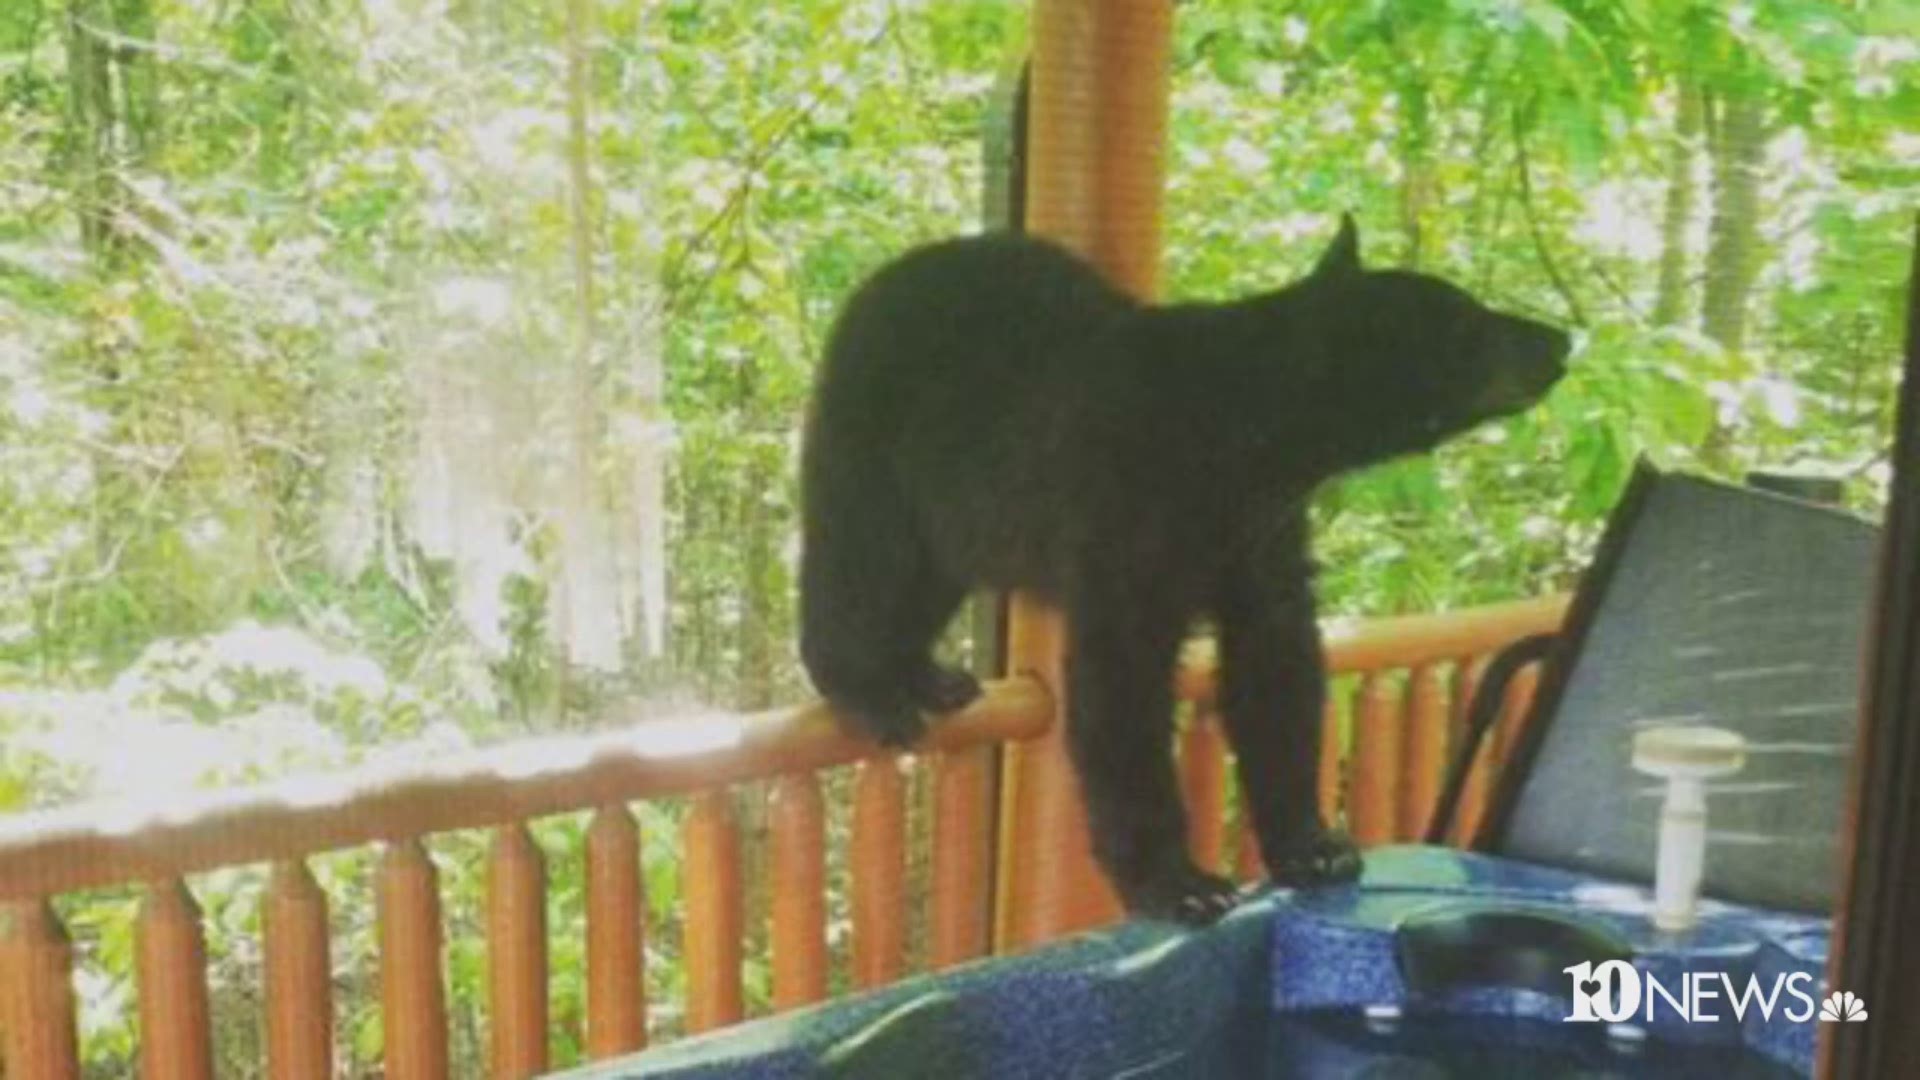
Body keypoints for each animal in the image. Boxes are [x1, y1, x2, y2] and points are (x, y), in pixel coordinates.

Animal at [802, 216, 1566, 914]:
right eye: (1468, 322)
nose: (1557, 339)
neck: (1248, 439)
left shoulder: (1261, 534)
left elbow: (1277, 660)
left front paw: (1313, 844)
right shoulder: (1133, 511)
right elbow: (1122, 684)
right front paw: (1178, 881)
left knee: (929, 578)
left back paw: (927, 674)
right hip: (873, 433)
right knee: (864, 559)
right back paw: (870, 688)